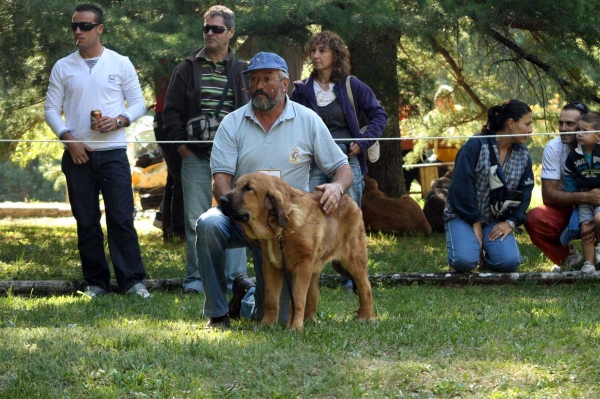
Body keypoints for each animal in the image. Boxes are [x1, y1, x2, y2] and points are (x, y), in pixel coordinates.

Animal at [218, 173, 378, 330]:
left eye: (248, 188)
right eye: (235, 185)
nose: (221, 200)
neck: (280, 230)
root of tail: (350, 199)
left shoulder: (302, 267)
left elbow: (298, 298)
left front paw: (294, 327)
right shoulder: (271, 267)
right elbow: (271, 298)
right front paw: (267, 324)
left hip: (354, 261)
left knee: (366, 287)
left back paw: (367, 317)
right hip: (315, 271)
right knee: (313, 297)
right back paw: (310, 321)